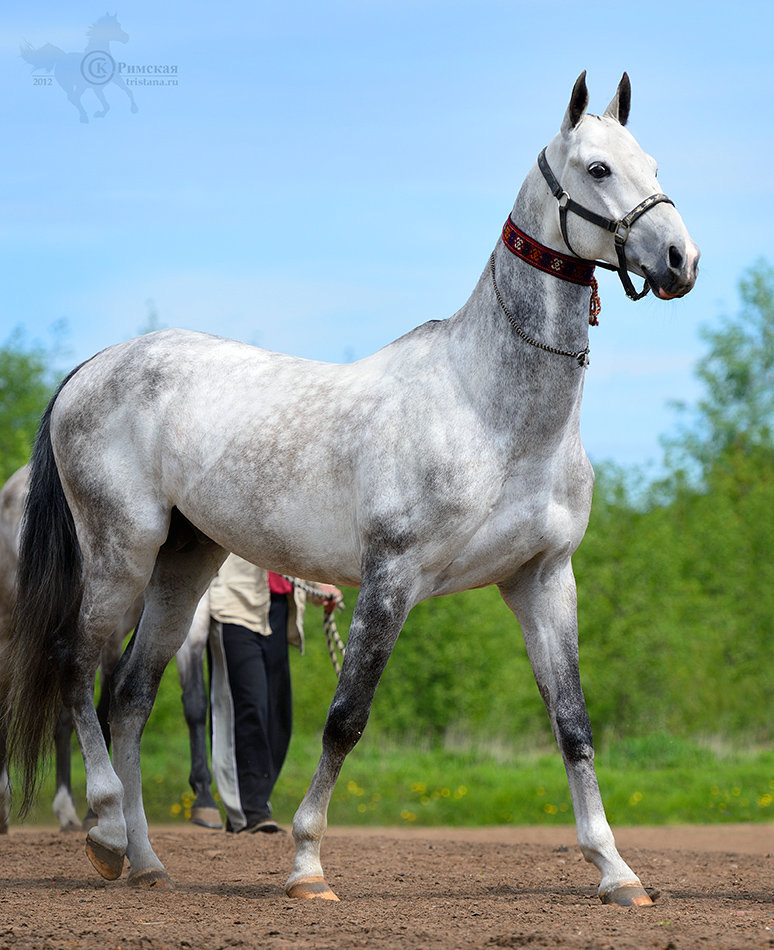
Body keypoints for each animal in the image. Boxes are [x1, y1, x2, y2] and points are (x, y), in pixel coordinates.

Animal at [0, 466, 220, 832]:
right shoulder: (114, 628)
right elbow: (104, 702)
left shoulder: (188, 614)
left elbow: (194, 703)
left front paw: (204, 801)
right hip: (12, 617)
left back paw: (66, 810)